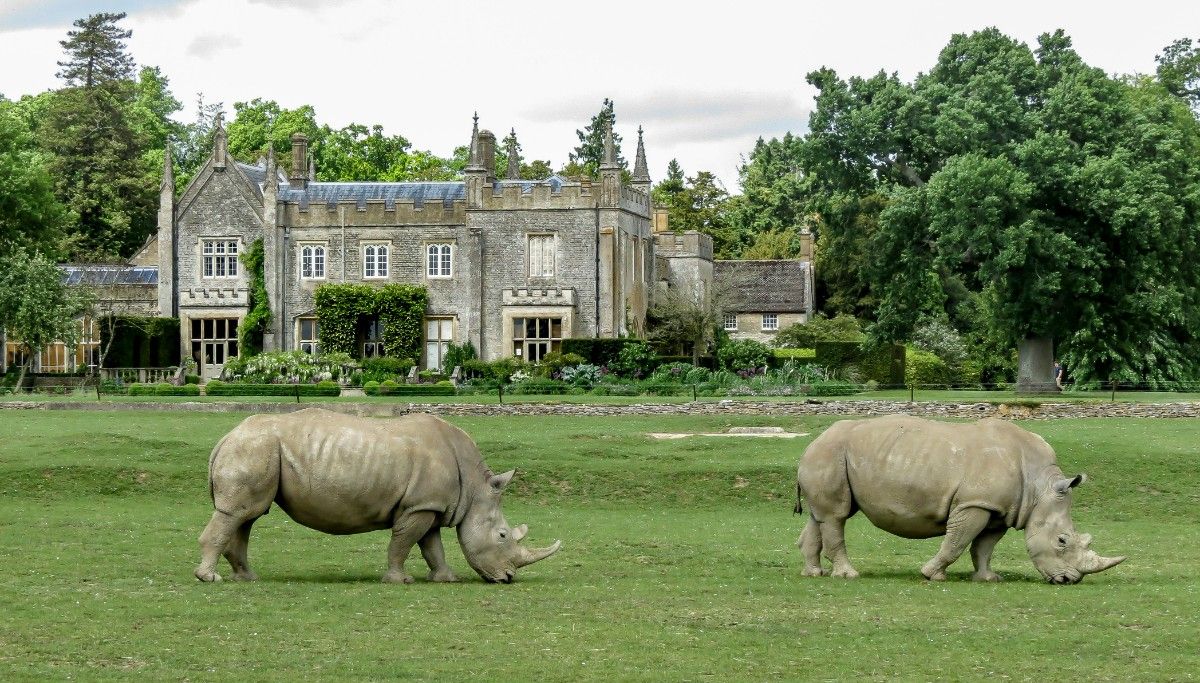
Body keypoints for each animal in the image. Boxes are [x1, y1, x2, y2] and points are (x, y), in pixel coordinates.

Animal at [194, 408, 559, 583]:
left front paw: (445, 578)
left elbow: (432, 546)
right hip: (255, 448)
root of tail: (225, 437)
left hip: (257, 449)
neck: (474, 487)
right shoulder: (418, 506)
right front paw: (400, 580)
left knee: (246, 515)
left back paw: (247, 578)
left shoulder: (429, 505)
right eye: (502, 535)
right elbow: (403, 542)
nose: (508, 578)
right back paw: (210, 578)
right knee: (238, 513)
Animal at [796, 412, 1123, 583]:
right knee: (836, 516)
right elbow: (957, 542)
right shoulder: (974, 503)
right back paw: (849, 575)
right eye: (1062, 541)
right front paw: (932, 575)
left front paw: (988, 578)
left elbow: (984, 547)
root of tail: (813, 441)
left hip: (831, 455)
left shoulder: (1000, 509)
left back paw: (814, 573)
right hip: (831, 453)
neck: (1039, 487)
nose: (1070, 580)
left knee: (821, 515)